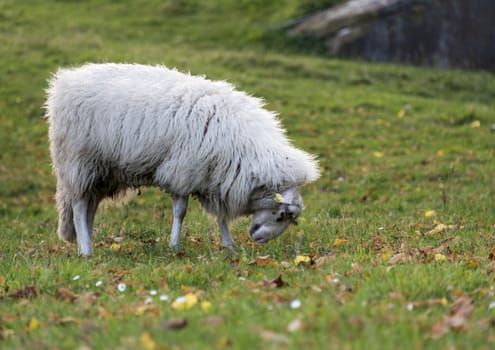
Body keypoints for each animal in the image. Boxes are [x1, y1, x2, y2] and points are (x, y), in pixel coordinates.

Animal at [44, 63, 320, 254]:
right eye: (281, 215)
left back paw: (87, 241)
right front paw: (174, 245)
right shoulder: (184, 170)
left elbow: (220, 216)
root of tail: (64, 82)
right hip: (79, 161)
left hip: (103, 172)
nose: (257, 239)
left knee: (89, 207)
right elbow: (180, 212)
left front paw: (229, 245)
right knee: (80, 206)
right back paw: (85, 250)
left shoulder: (215, 177)